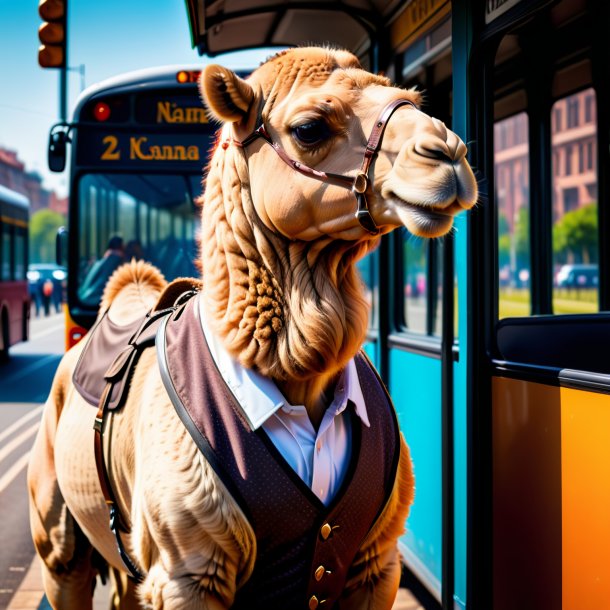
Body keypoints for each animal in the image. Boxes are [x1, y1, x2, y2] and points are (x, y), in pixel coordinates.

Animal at [28, 48, 476, 608]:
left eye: (411, 98)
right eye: (309, 127)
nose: (447, 152)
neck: (297, 382)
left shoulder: (378, 560)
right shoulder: (187, 571)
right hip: (59, 541)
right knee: (65, 560)